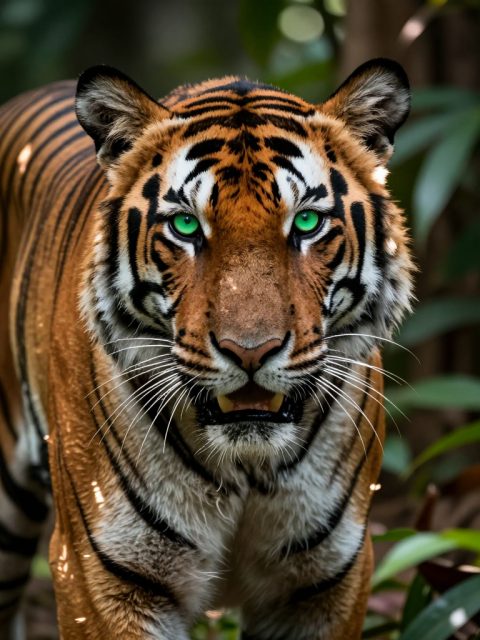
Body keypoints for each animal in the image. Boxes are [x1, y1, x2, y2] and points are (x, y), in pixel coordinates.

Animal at [0, 58, 413, 639]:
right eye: (186, 225)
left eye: (307, 222)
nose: (251, 351)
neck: (247, 469)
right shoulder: (100, 576)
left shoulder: (326, 582)